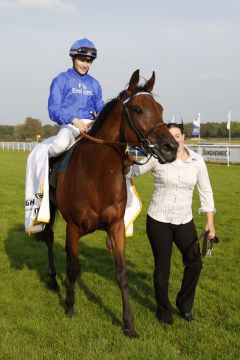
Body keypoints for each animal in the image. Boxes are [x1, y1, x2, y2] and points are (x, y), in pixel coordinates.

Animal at [42, 70, 178, 338]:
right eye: (138, 109)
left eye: (160, 108)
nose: (171, 148)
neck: (96, 174)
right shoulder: (74, 226)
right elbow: (74, 266)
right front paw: (70, 307)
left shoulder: (116, 225)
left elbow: (121, 274)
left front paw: (129, 325)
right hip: (50, 212)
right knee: (50, 238)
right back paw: (53, 280)